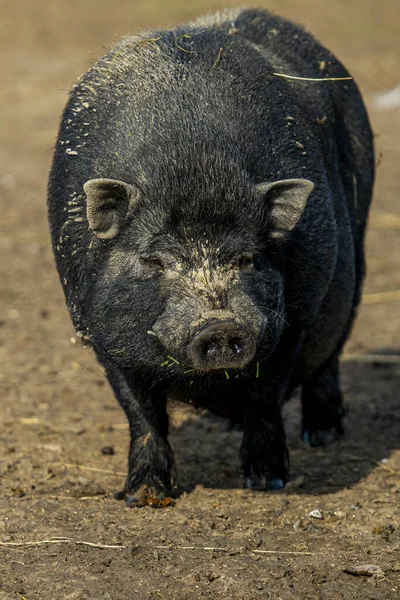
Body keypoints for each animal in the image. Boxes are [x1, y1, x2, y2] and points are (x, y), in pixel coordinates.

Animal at [48, 9, 374, 506]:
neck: (194, 163)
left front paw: (266, 482)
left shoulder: (292, 321)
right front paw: (143, 498)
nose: (219, 326)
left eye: (247, 258)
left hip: (354, 264)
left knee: (330, 358)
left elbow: (265, 397)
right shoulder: (100, 333)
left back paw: (322, 436)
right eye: (155, 261)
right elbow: (141, 414)